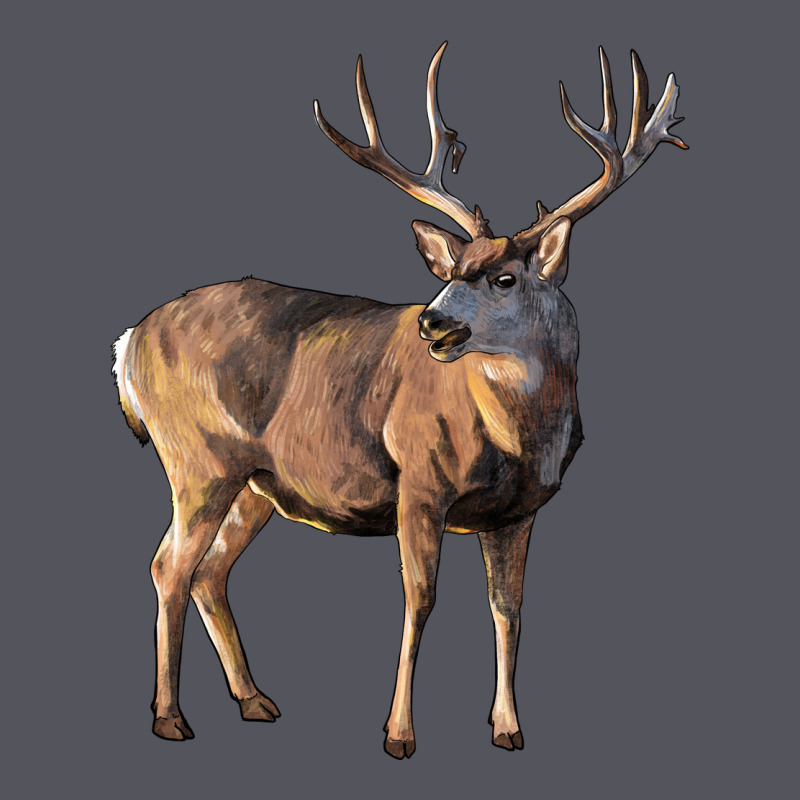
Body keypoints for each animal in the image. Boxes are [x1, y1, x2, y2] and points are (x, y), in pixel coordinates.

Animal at [112, 43, 686, 758]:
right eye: (450, 272)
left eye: (504, 278)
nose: (432, 323)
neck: (519, 438)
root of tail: (129, 343)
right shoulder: (419, 482)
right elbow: (420, 599)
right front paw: (399, 734)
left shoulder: (520, 512)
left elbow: (508, 609)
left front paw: (508, 728)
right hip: (198, 459)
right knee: (169, 565)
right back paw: (170, 717)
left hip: (256, 482)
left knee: (209, 571)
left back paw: (255, 701)